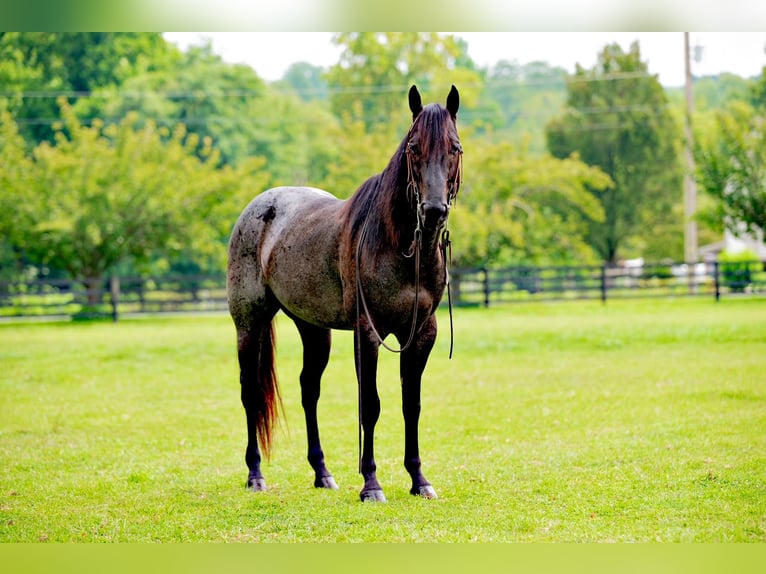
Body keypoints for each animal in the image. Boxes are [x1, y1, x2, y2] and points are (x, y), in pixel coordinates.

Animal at [226, 85, 462, 504]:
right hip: (248, 325)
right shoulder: (367, 333)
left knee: (309, 390)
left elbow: (411, 404)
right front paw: (371, 484)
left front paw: (419, 480)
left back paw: (322, 473)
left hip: (313, 329)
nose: (433, 211)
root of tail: (259, 207)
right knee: (250, 393)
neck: (400, 246)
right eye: (413, 147)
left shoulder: (422, 334)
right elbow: (371, 405)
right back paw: (255, 475)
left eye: (454, 147)